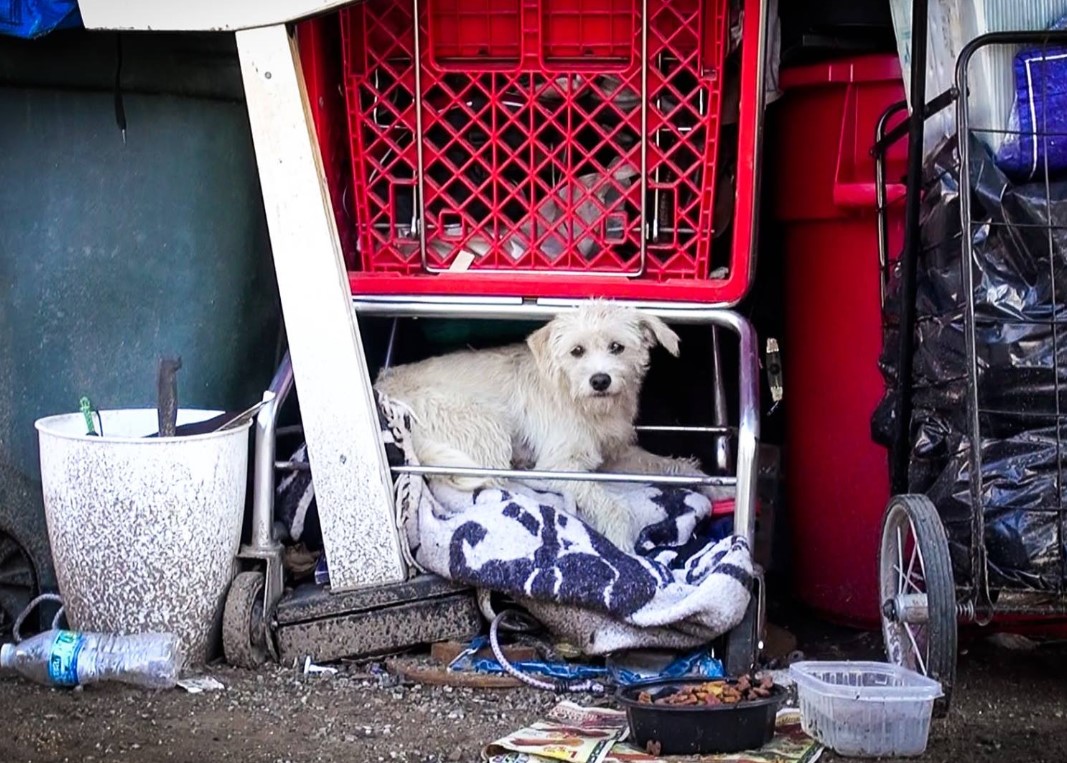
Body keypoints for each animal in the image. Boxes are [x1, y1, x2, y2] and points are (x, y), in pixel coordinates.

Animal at [373, 300, 717, 550]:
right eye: (577, 351)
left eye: (617, 347)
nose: (600, 380)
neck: (583, 402)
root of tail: (385, 396)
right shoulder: (561, 463)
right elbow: (608, 502)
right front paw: (622, 541)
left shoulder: (616, 455)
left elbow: (668, 464)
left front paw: (707, 481)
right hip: (486, 424)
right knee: (499, 483)